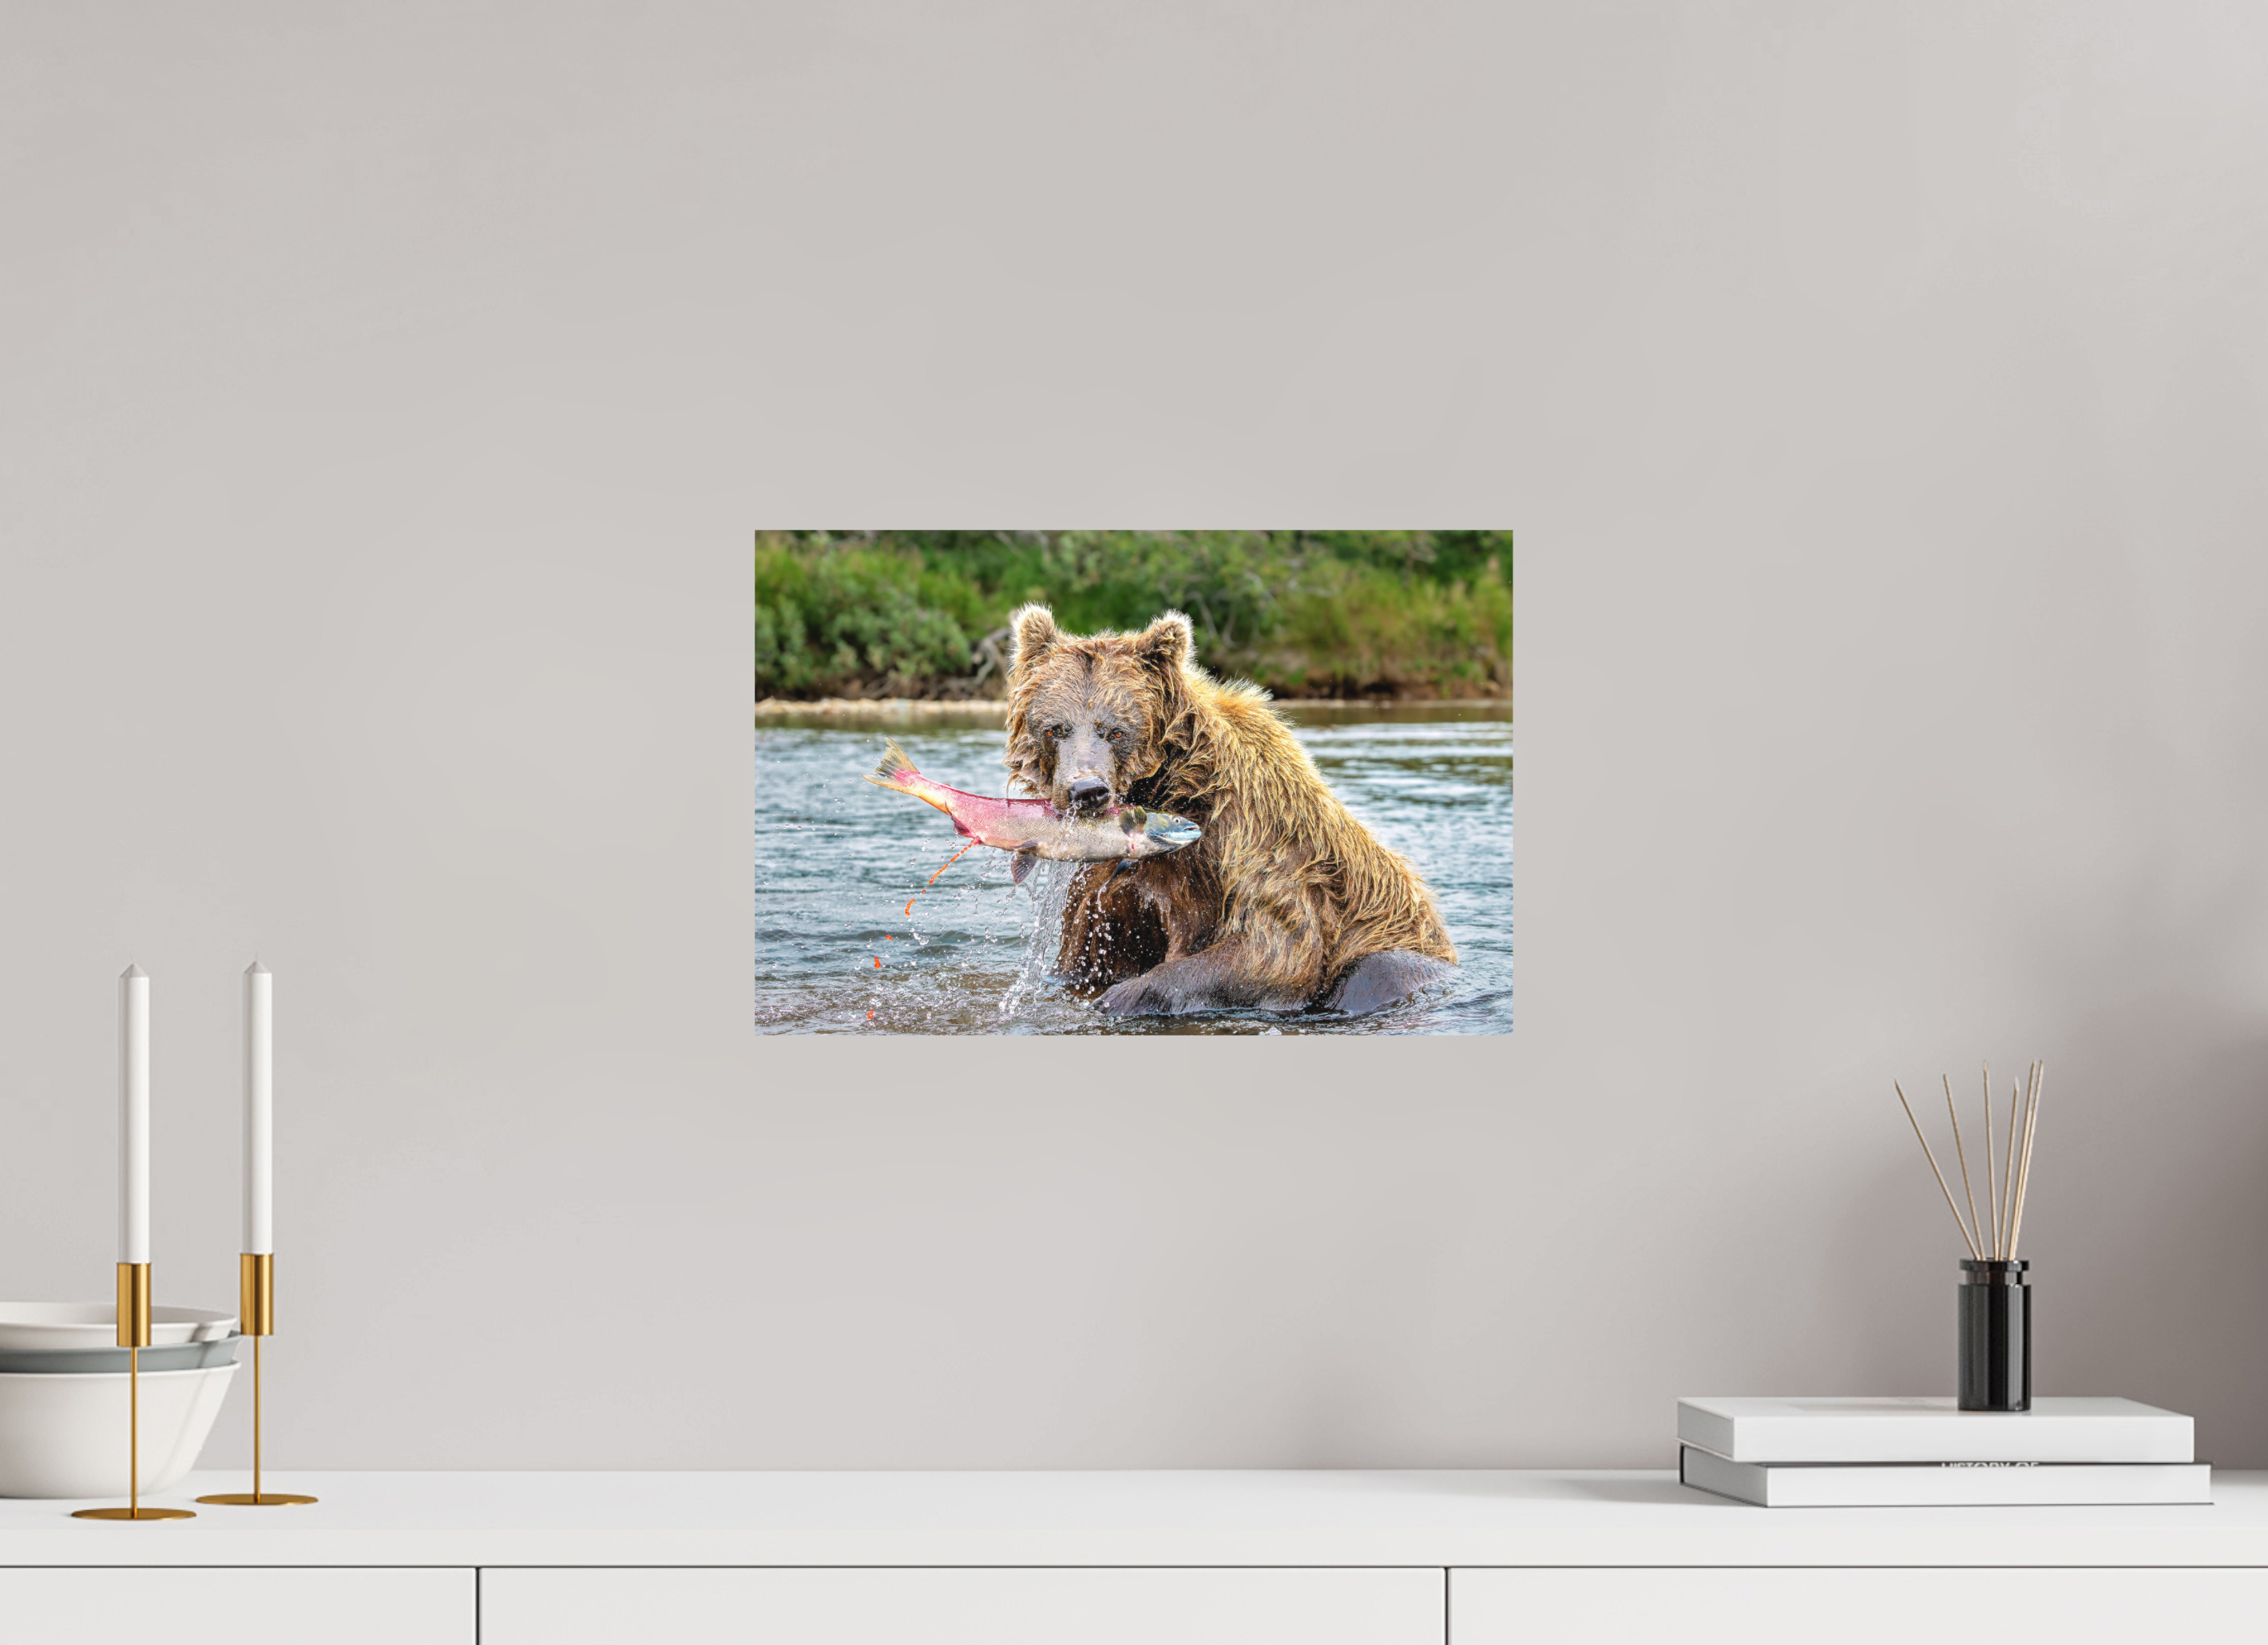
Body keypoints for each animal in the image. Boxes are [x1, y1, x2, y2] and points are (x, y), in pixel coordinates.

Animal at [1002, 604, 1457, 1016]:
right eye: (1055, 728)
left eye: (1116, 730)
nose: (1087, 790)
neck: (1167, 787)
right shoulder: (1108, 886)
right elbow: (1085, 950)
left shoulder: (1251, 829)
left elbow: (1277, 947)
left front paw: (1117, 998)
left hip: (1398, 945)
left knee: (1379, 971)